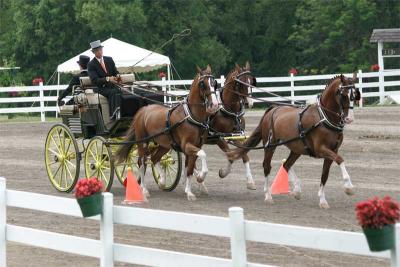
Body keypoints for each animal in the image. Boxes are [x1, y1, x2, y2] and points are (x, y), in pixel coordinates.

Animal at [115, 66, 219, 202]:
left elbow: (190, 168)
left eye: (215, 83)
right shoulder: (187, 146)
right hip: (142, 143)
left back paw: (162, 181)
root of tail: (142, 110)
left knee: (154, 158)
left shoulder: (195, 146)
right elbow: (202, 155)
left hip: (164, 145)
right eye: (202, 84)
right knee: (142, 163)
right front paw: (200, 177)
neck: (191, 115)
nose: (215, 105)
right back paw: (144, 190)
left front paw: (189, 191)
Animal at [208, 61, 258, 189]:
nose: (250, 102)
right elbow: (230, 155)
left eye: (252, 81)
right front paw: (223, 173)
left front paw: (250, 182)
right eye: (241, 83)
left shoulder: (236, 136)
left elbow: (243, 155)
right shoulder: (219, 138)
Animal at [227, 74, 360, 209]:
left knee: (286, 164)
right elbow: (340, 159)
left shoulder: (333, 150)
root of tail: (272, 109)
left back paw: (297, 190)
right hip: (270, 145)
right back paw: (268, 195)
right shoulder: (321, 149)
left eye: (355, 94)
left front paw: (322, 201)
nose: (349, 119)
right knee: (267, 166)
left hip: (297, 149)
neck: (324, 118)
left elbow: (325, 175)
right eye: (343, 94)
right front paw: (348, 187)